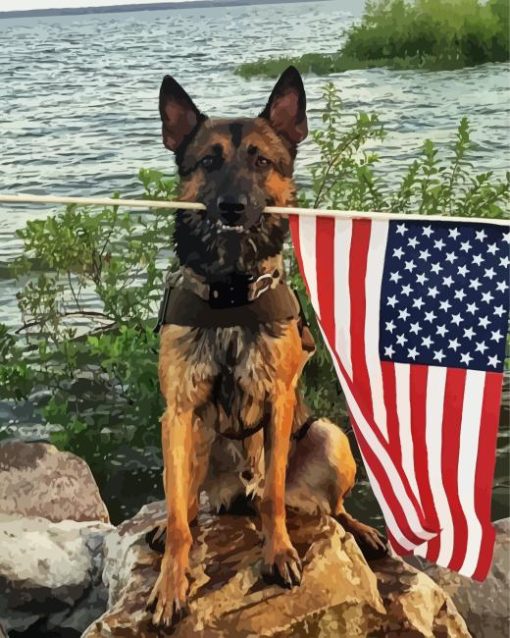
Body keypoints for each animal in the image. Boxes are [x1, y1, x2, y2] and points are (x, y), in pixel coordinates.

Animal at [147, 66, 386, 632]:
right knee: (189, 507)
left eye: (261, 161)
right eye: (208, 161)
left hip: (328, 435)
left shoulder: (279, 404)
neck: (232, 290)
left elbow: (274, 497)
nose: (233, 208)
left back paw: (361, 531)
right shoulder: (178, 411)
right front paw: (171, 583)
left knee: (326, 509)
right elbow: (178, 513)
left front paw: (277, 554)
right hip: (193, 442)